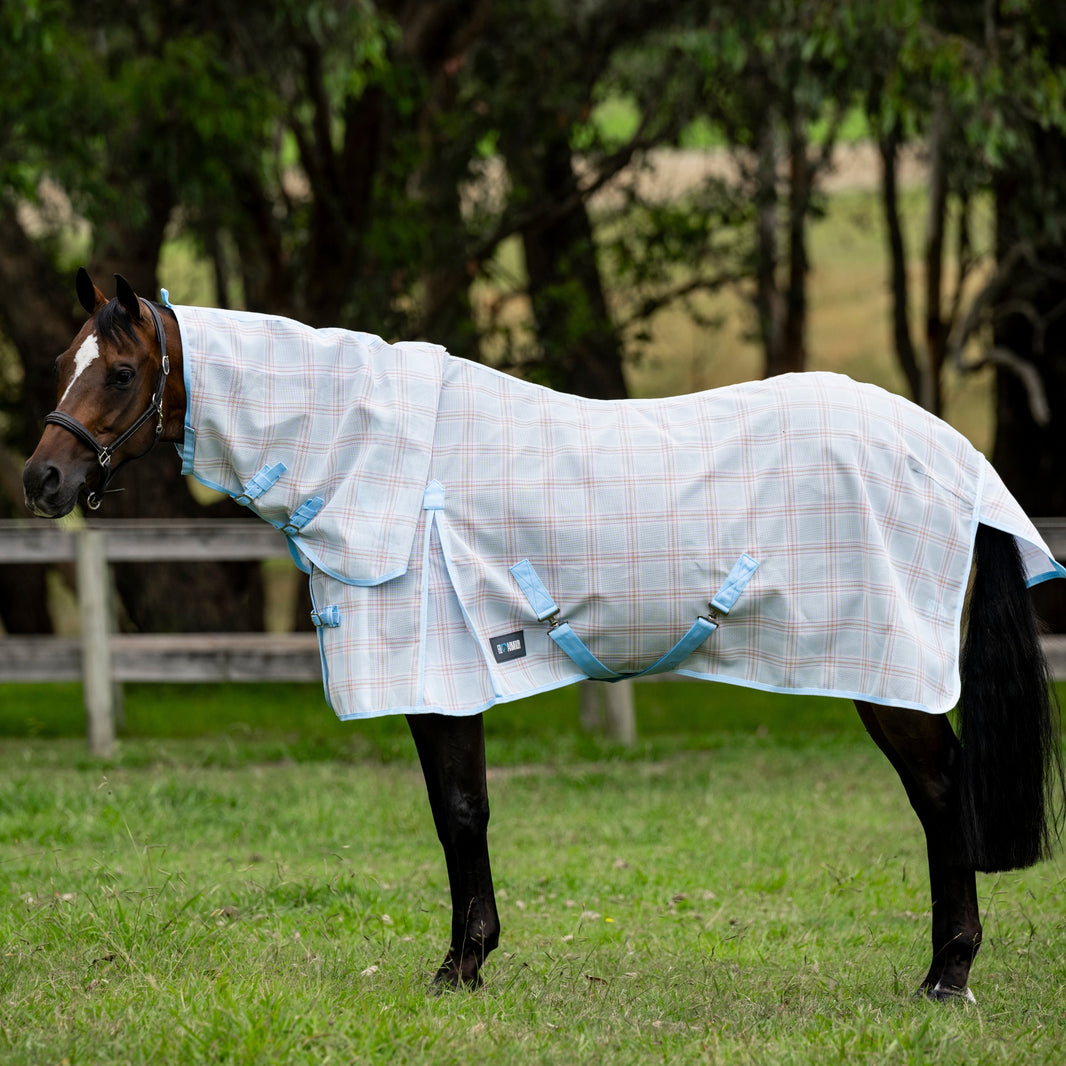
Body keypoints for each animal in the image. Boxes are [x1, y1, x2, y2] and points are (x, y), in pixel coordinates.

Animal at [22, 270, 1066, 1001]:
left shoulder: (441, 675)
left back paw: (947, 975)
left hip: (887, 674)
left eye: (122, 372)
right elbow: (462, 810)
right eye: (61, 363)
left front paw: (458, 968)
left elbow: (459, 812)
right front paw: (470, 959)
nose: (42, 482)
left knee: (942, 793)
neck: (378, 458)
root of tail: (953, 452)